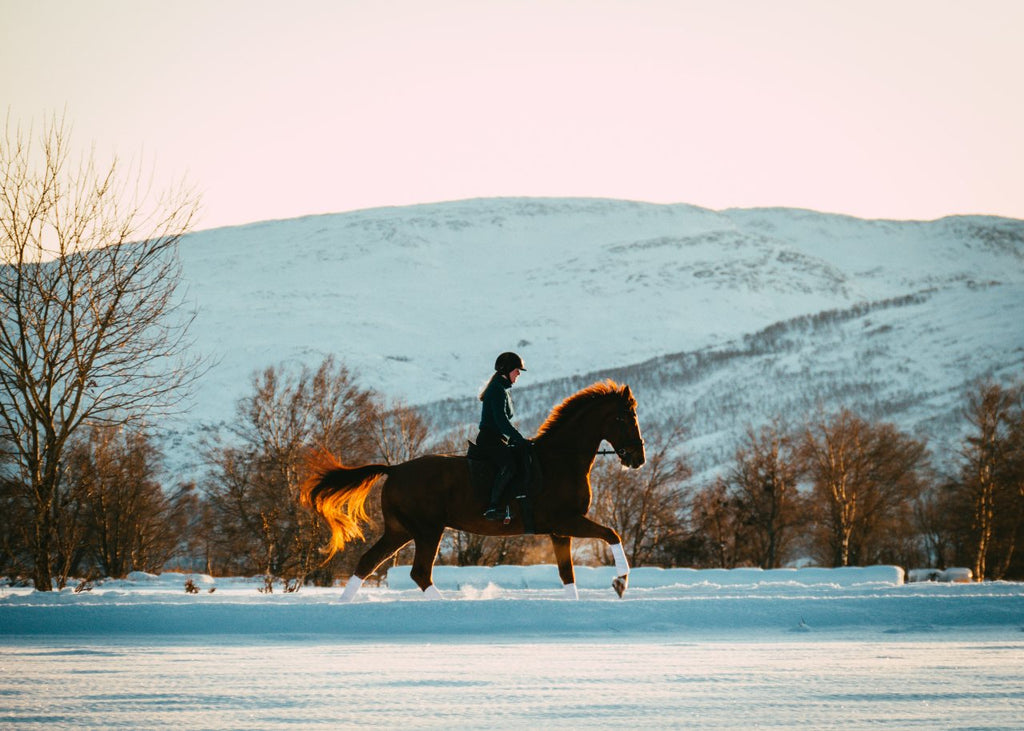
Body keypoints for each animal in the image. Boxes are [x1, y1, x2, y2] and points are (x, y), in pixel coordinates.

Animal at [299, 378, 643, 602]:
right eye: (625, 417)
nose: (637, 458)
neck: (560, 460)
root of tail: (394, 469)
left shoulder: (560, 531)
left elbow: (567, 575)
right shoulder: (566, 521)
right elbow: (613, 535)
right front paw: (620, 583)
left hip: (400, 530)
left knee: (367, 563)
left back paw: (343, 605)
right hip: (427, 530)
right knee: (419, 573)